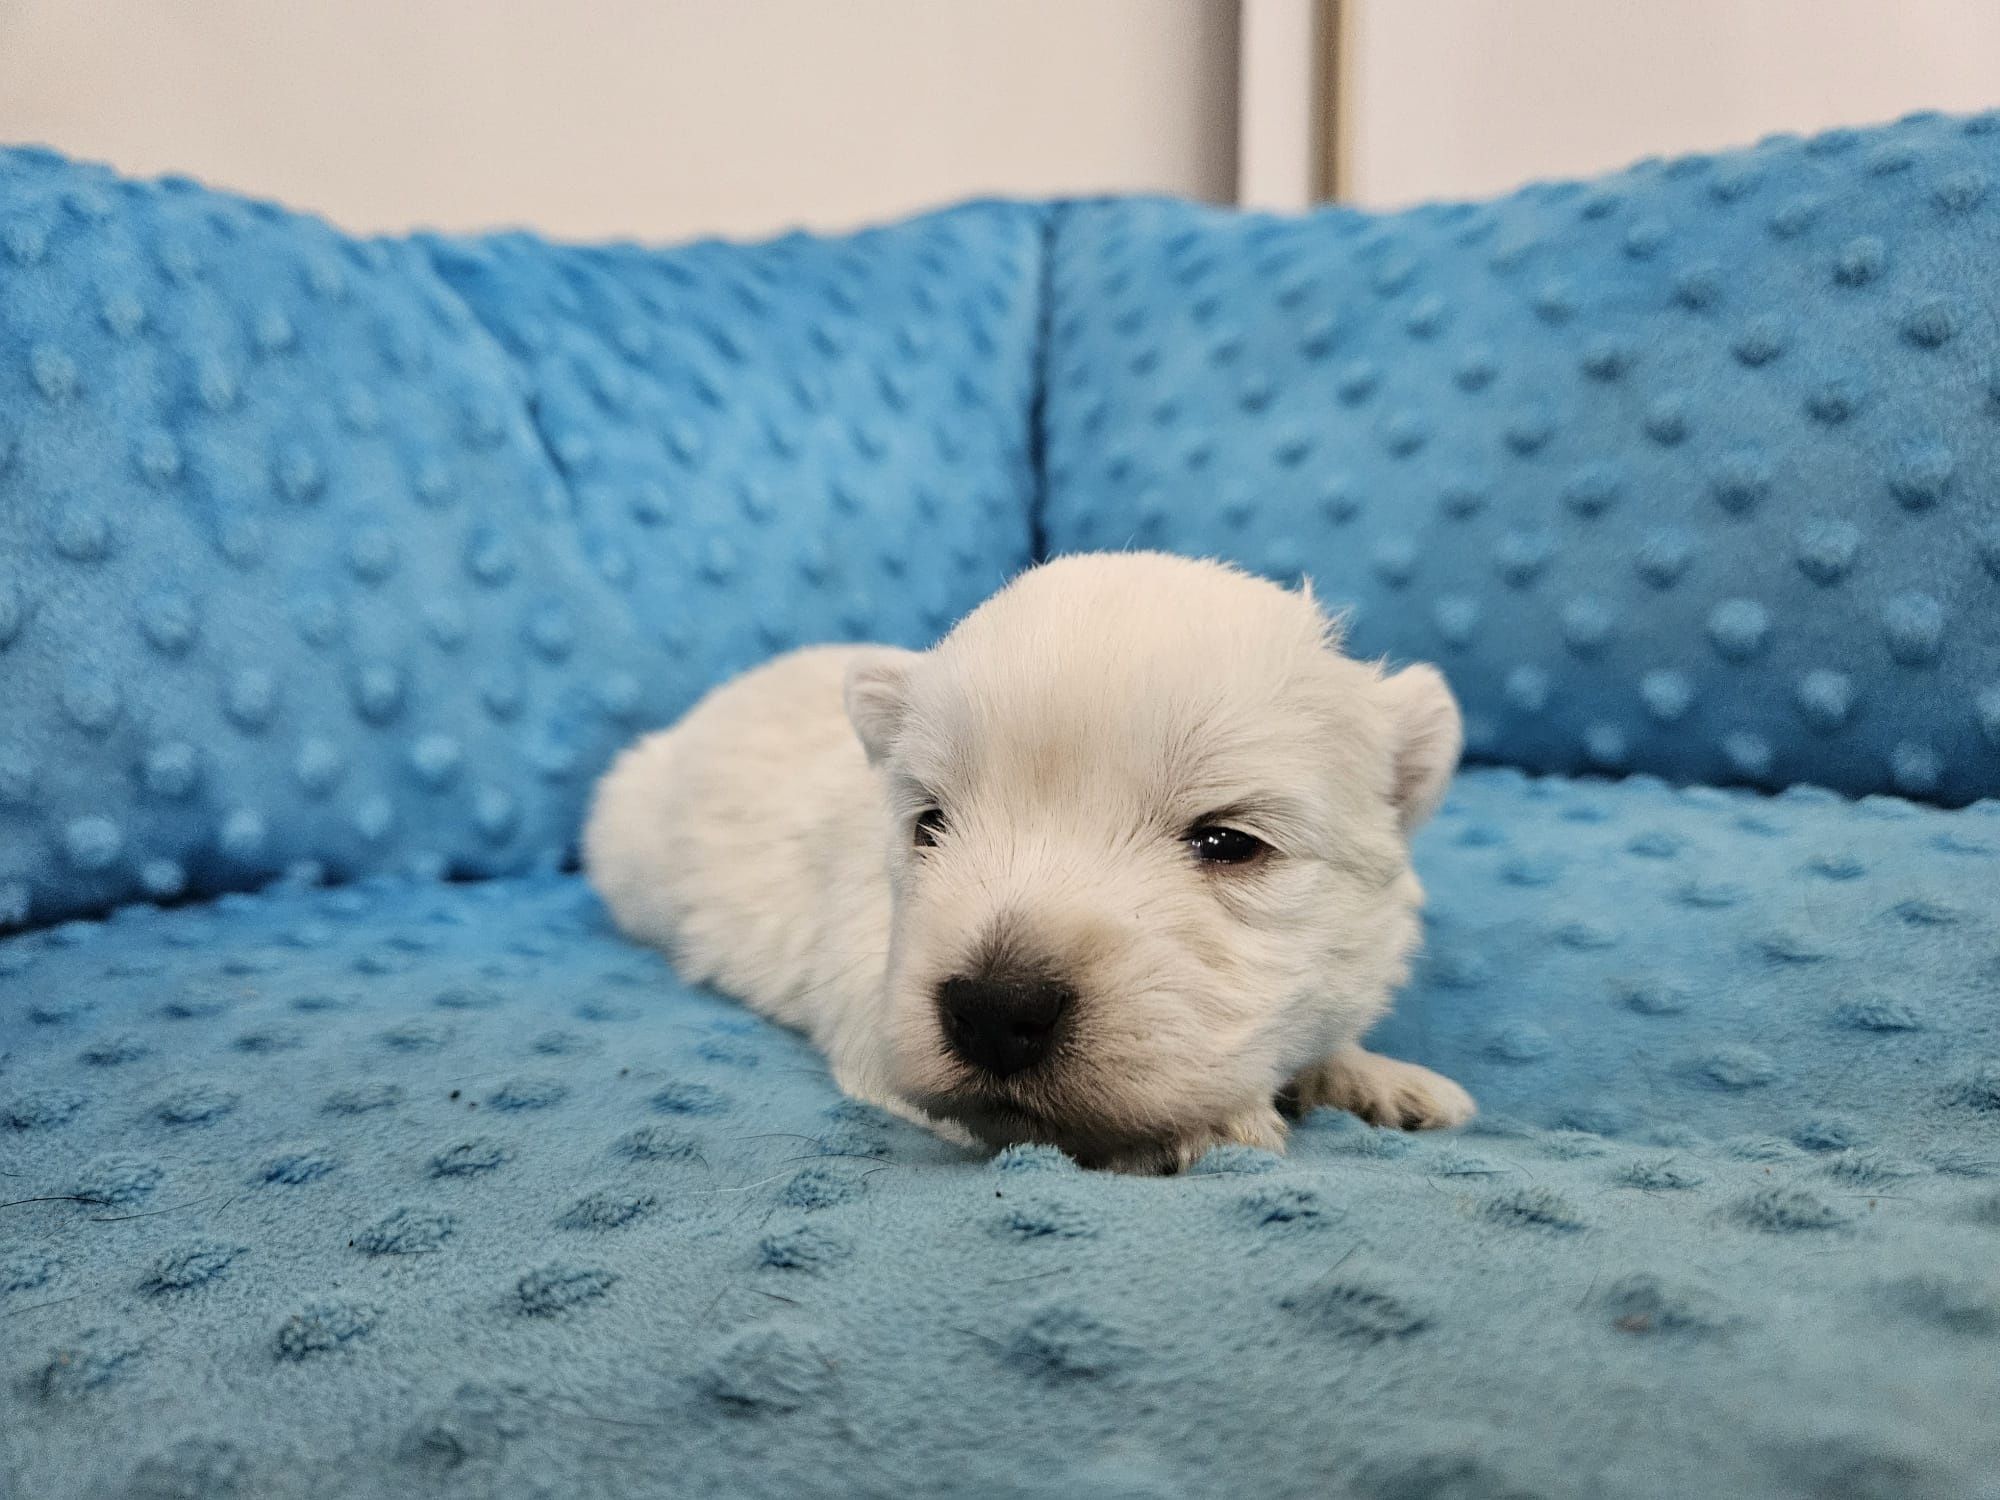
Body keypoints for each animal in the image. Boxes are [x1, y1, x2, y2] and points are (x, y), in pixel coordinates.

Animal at [580, 552, 1472, 1176]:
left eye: (1228, 843)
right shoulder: (871, 990)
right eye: (930, 823)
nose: (993, 1010)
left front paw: (1386, 1080)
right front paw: (1205, 1125)